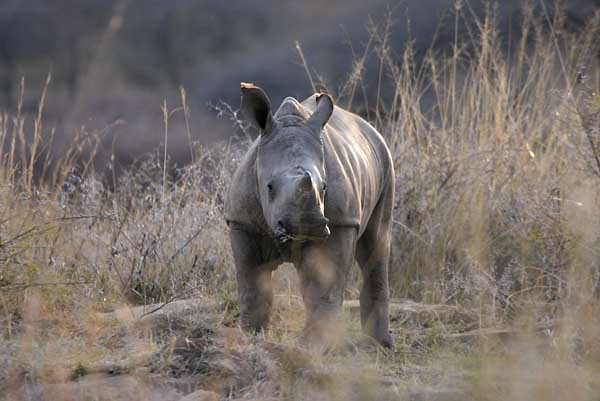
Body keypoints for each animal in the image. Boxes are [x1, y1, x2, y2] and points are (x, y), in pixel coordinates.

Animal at [224, 83, 394, 346]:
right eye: (269, 187)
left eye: (324, 187)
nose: (307, 224)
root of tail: (369, 128)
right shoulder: (242, 222)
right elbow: (252, 288)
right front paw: (250, 337)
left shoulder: (341, 223)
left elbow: (323, 288)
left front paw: (315, 346)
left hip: (386, 160)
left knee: (376, 241)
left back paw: (379, 344)